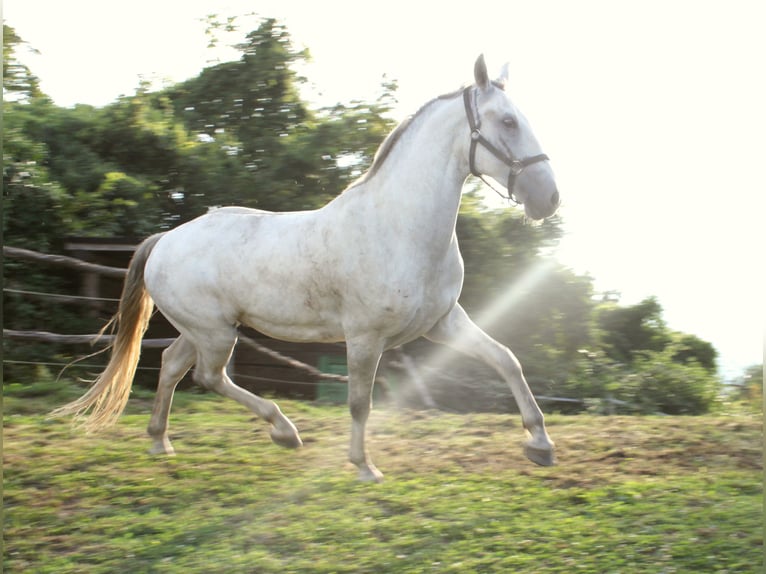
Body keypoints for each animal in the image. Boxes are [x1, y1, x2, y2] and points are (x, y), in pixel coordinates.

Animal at [54, 56, 560, 484]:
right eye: (508, 121)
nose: (549, 199)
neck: (399, 227)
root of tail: (165, 239)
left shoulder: (443, 323)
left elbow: (506, 360)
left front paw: (540, 444)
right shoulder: (365, 337)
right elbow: (359, 402)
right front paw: (364, 467)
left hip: (203, 330)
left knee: (171, 364)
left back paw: (161, 441)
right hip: (215, 332)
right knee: (208, 377)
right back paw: (283, 431)